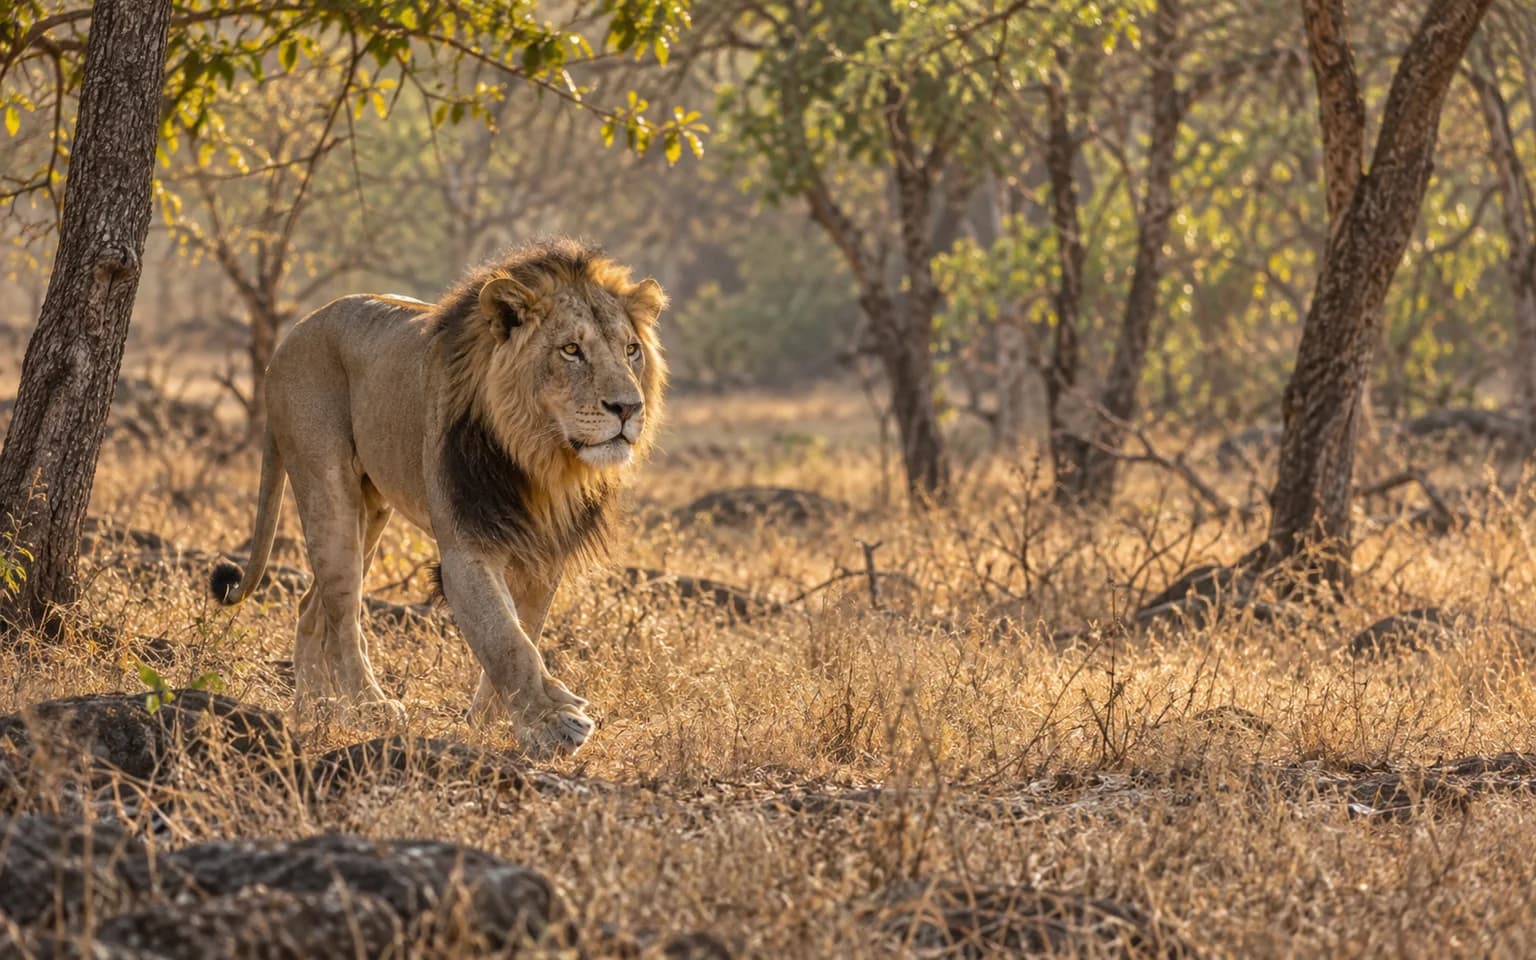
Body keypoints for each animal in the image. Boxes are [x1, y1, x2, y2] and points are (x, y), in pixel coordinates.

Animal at [209, 238, 667, 757]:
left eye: (631, 350)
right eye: (571, 350)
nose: (629, 408)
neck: (542, 461)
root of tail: (290, 338)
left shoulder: (545, 553)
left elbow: (525, 631)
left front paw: (491, 719)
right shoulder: (466, 550)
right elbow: (505, 638)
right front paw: (552, 722)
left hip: (373, 508)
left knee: (314, 605)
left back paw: (313, 707)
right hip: (327, 486)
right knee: (344, 608)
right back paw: (368, 706)